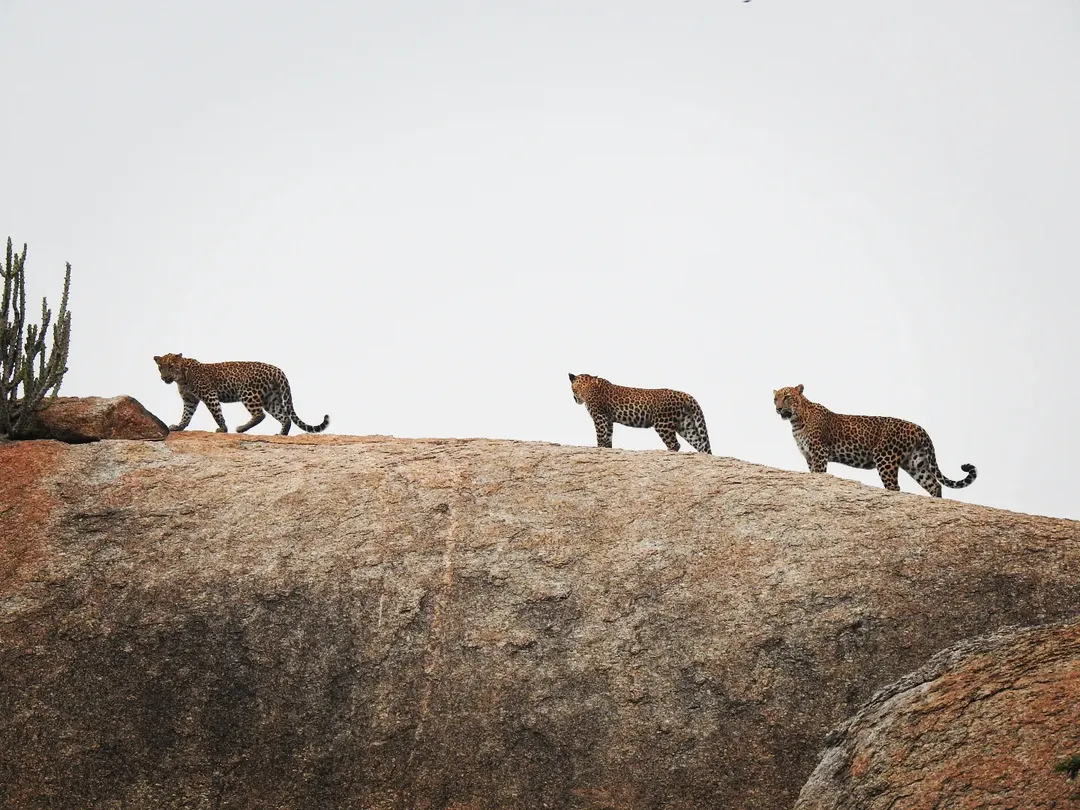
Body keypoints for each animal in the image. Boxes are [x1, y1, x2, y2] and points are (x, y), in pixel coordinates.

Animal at [154, 353, 330, 436]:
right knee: (285, 417)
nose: (165, 378)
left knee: (260, 415)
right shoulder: (190, 400)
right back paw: (281, 435)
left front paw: (223, 429)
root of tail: (277, 370)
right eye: (161, 367)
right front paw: (178, 427)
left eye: (171, 366)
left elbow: (216, 413)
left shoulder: (209, 394)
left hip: (248, 393)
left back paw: (241, 429)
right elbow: (186, 415)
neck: (181, 378)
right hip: (271, 399)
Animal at [569, 372, 711, 453]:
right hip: (686, 425)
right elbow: (608, 437)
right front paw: (608, 448)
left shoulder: (599, 416)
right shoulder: (608, 420)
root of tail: (685, 395)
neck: (586, 386)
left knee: (674, 444)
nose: (574, 399)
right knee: (701, 444)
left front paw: (599, 448)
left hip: (663, 424)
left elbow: (600, 435)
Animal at [773, 383, 976, 497]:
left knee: (895, 487)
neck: (797, 420)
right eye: (775, 398)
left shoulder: (819, 453)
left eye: (787, 397)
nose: (778, 408)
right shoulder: (809, 456)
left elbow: (820, 474)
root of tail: (918, 428)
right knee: (934, 484)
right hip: (915, 462)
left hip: (885, 458)